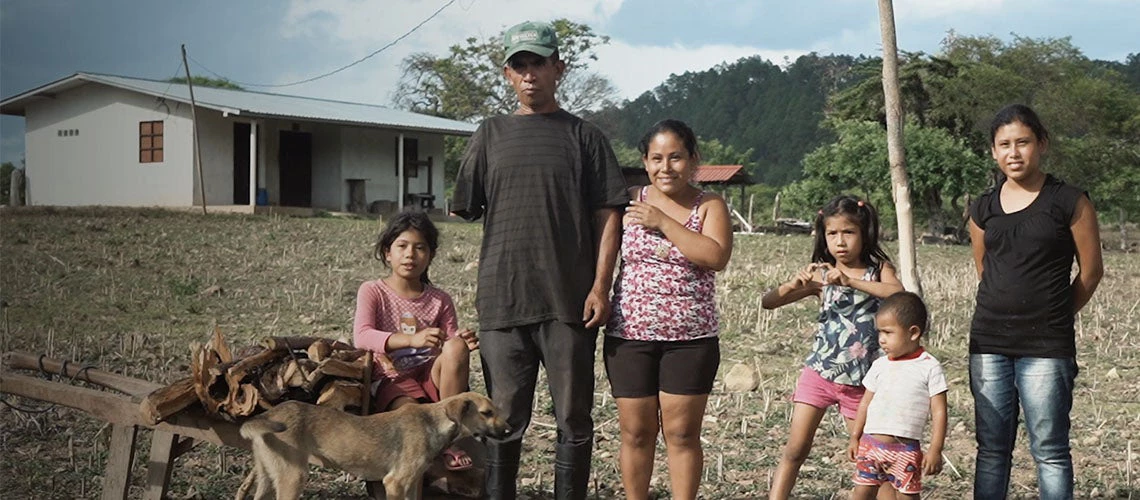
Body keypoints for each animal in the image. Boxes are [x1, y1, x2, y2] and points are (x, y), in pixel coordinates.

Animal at [239, 394, 508, 498]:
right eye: (486, 413)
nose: (508, 430)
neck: (433, 422)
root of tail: (267, 414)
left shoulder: (412, 484)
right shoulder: (395, 483)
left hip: (267, 478)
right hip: (293, 477)